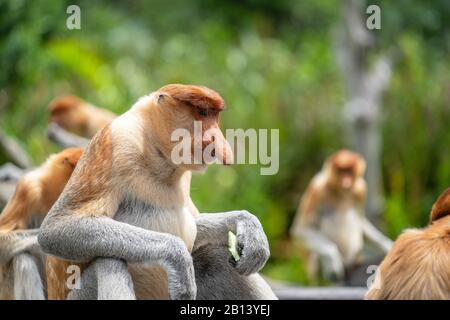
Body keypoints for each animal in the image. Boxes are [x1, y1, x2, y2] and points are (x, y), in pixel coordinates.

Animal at [40, 84, 274, 300]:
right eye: (203, 112)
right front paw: (177, 256)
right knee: (109, 260)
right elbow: (56, 229)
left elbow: (195, 225)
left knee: (214, 255)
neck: (157, 153)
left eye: (215, 116)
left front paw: (248, 226)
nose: (217, 140)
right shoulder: (115, 144)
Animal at [290, 149, 392, 280]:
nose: (346, 182)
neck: (339, 191)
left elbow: (361, 222)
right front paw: (332, 260)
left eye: (349, 171)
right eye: (341, 171)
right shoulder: (317, 188)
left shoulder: (361, 189)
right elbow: (302, 229)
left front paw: (388, 245)